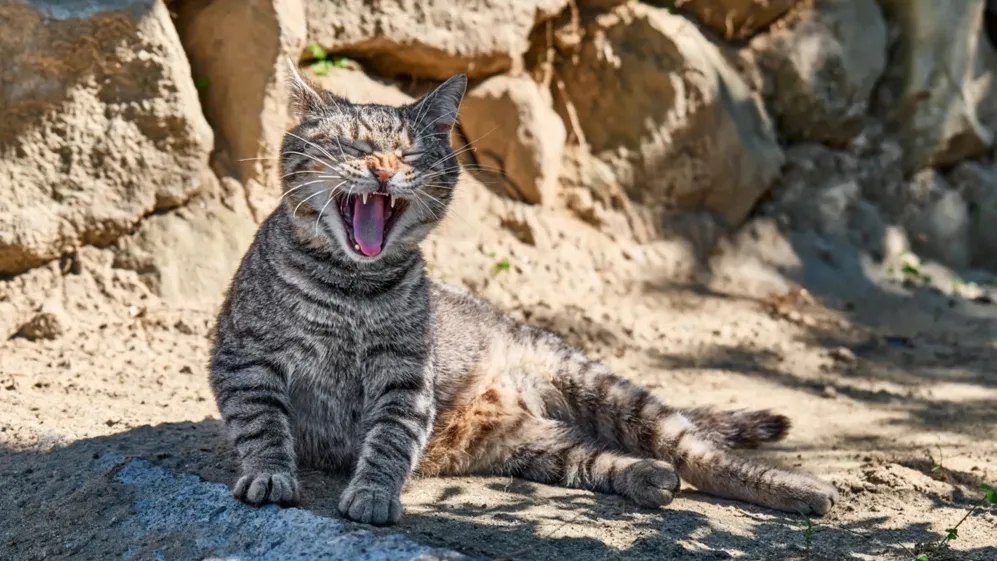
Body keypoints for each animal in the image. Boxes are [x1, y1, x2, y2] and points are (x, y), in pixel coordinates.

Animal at [212, 62, 840, 524]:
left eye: (410, 154)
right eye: (349, 146)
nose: (385, 170)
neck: (351, 288)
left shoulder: (406, 378)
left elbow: (389, 439)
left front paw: (372, 493)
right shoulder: (246, 359)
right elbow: (261, 424)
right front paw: (269, 474)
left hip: (610, 391)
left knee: (700, 454)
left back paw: (796, 489)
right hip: (528, 444)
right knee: (601, 457)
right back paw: (649, 478)